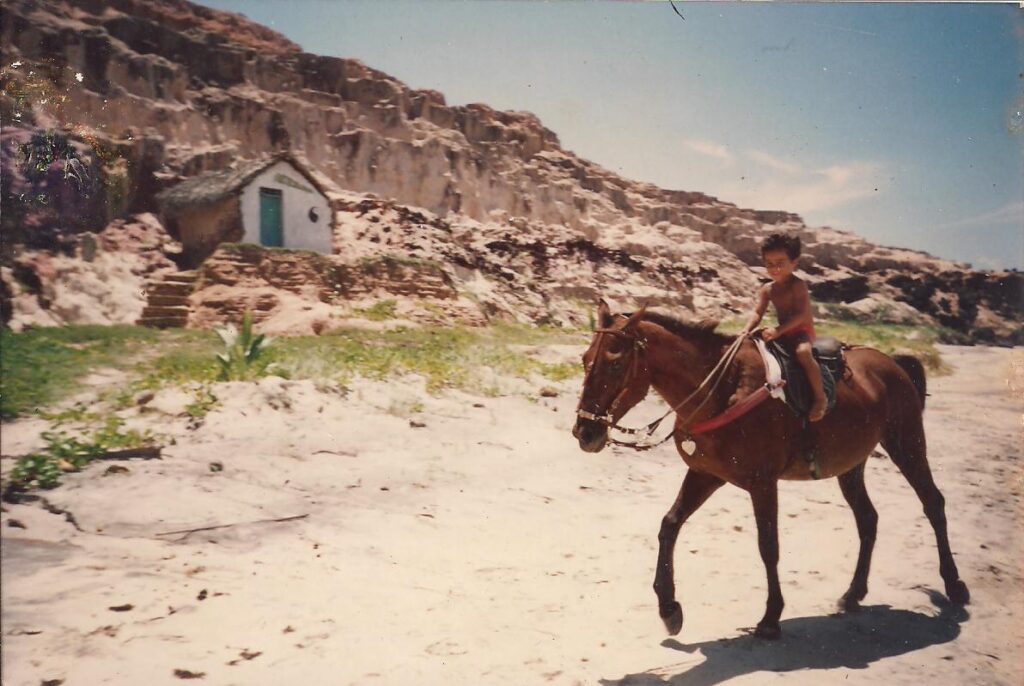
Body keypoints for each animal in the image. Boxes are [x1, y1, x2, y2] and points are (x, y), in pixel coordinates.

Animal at [571, 301, 969, 639]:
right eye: (585, 359)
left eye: (616, 363)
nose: (585, 432)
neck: (723, 388)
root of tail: (893, 362)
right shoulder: (706, 475)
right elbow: (669, 525)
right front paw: (669, 608)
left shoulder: (763, 484)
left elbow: (768, 546)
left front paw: (770, 617)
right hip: (851, 465)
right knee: (868, 519)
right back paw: (854, 593)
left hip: (907, 445)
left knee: (933, 503)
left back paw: (954, 586)